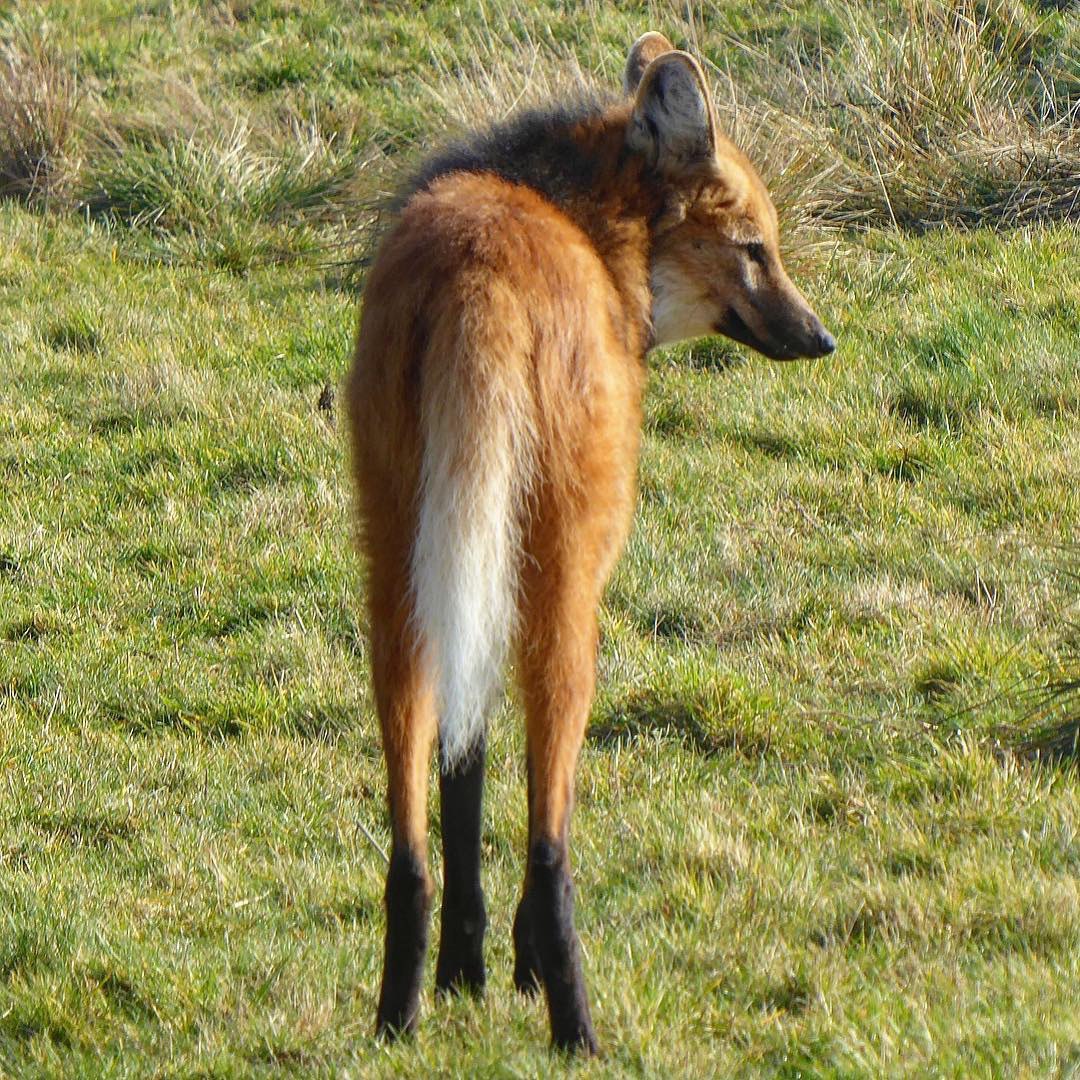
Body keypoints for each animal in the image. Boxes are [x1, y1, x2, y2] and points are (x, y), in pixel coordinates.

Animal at [345, 31, 834, 1053]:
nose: (823, 338)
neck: (591, 228)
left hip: (399, 556)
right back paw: (576, 1027)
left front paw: (463, 974)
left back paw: (400, 1013)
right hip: (564, 586)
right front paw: (509, 972)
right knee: (550, 840)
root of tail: (479, 271)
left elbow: (463, 760)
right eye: (756, 251)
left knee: (410, 819)